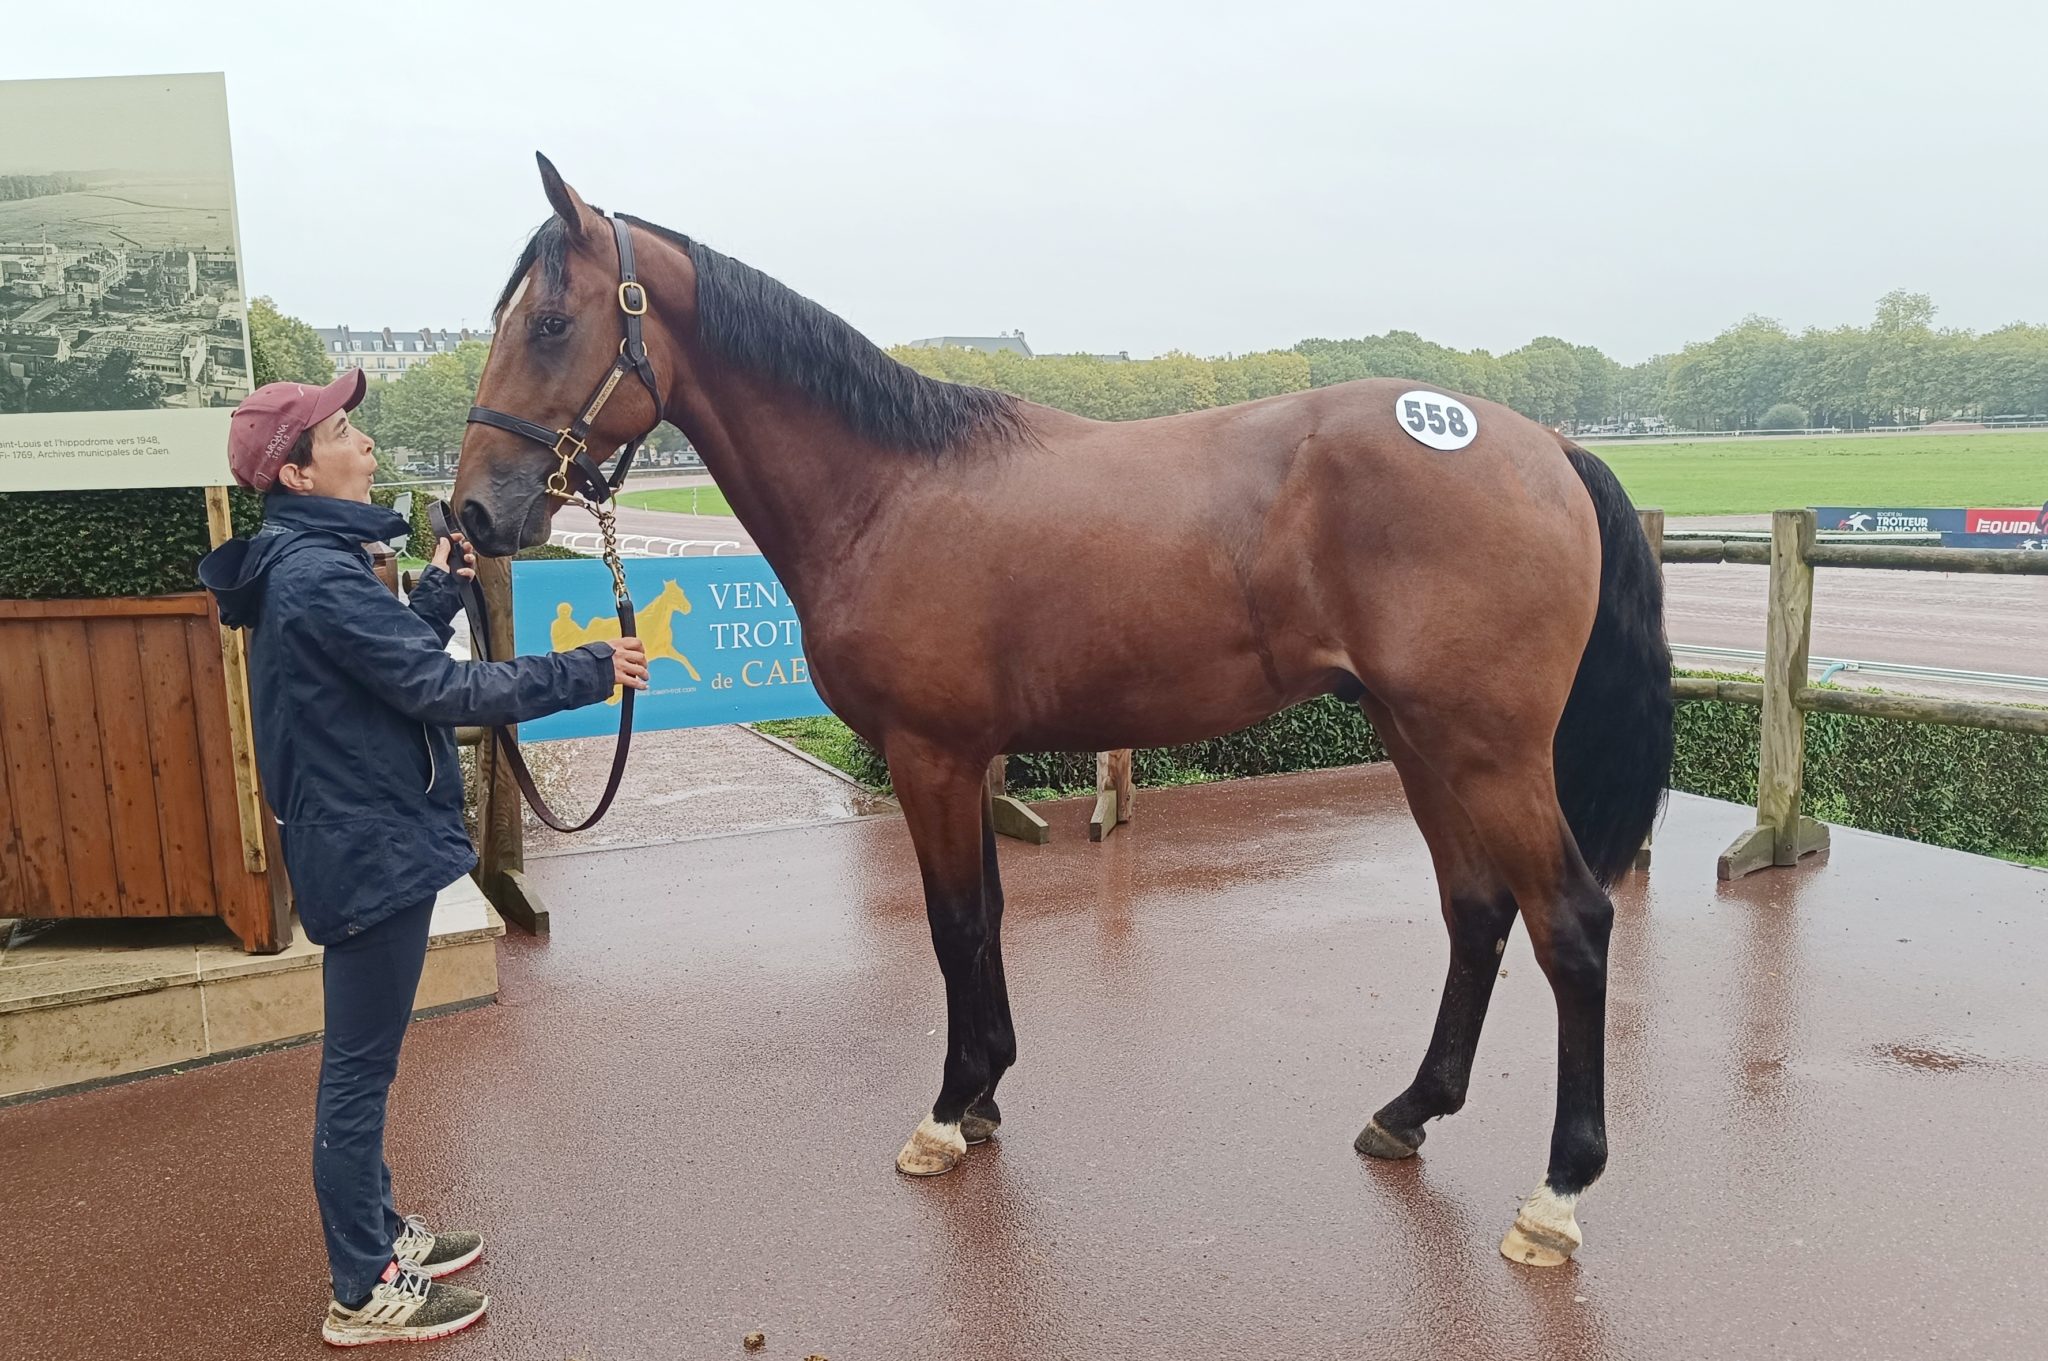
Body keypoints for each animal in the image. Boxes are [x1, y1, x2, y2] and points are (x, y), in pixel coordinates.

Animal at [448, 156, 1662, 1260]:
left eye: (550, 322)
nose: (473, 511)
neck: (890, 489)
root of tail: (1545, 444)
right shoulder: (964, 755)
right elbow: (983, 916)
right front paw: (984, 1091)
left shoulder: (930, 755)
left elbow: (954, 922)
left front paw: (947, 1113)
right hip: (1419, 737)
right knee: (1475, 909)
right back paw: (1408, 1111)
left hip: (1488, 749)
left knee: (1569, 923)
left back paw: (1556, 1194)